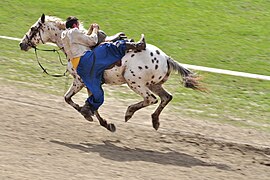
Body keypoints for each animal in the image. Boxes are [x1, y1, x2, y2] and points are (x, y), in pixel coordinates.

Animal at [19, 14, 202, 131]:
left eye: (33, 28)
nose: (22, 44)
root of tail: (165, 58)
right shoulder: (90, 84)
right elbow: (88, 103)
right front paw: (103, 122)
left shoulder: (80, 81)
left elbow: (73, 99)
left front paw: (90, 115)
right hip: (154, 84)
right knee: (166, 97)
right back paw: (155, 121)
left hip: (134, 82)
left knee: (151, 99)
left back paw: (129, 112)